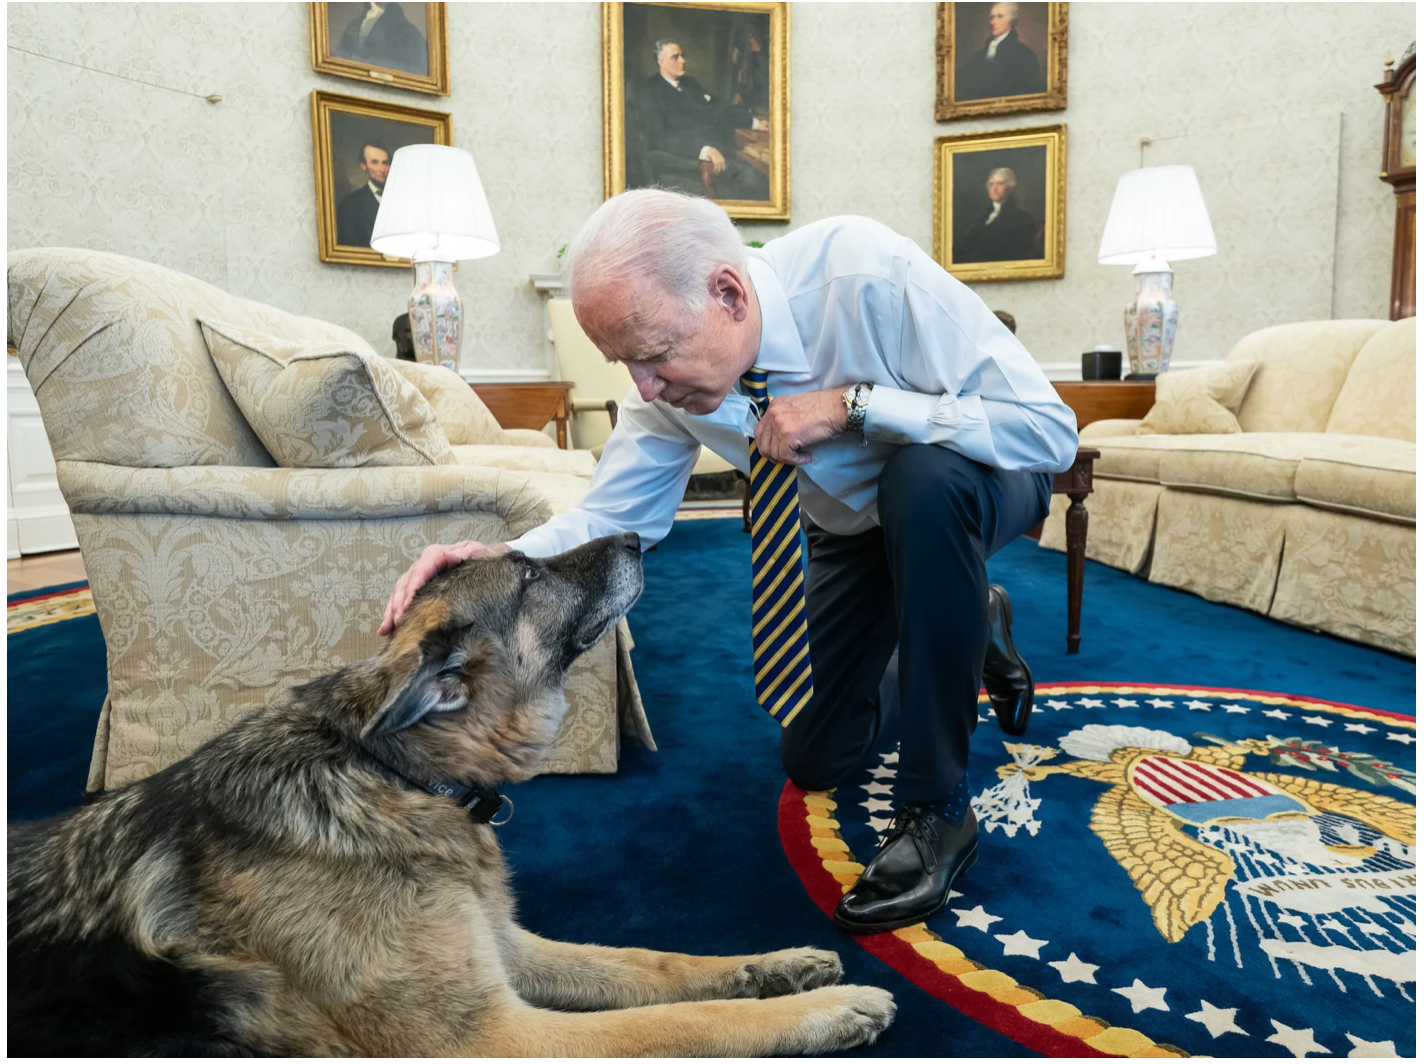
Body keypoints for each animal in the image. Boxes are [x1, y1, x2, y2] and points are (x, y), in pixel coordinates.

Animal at [11, 535, 894, 1054]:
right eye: (531, 572)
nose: (637, 536)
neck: (392, 774)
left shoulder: (503, 949)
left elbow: (655, 964)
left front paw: (773, 967)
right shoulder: (496, 1037)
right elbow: (675, 1020)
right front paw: (821, 1012)